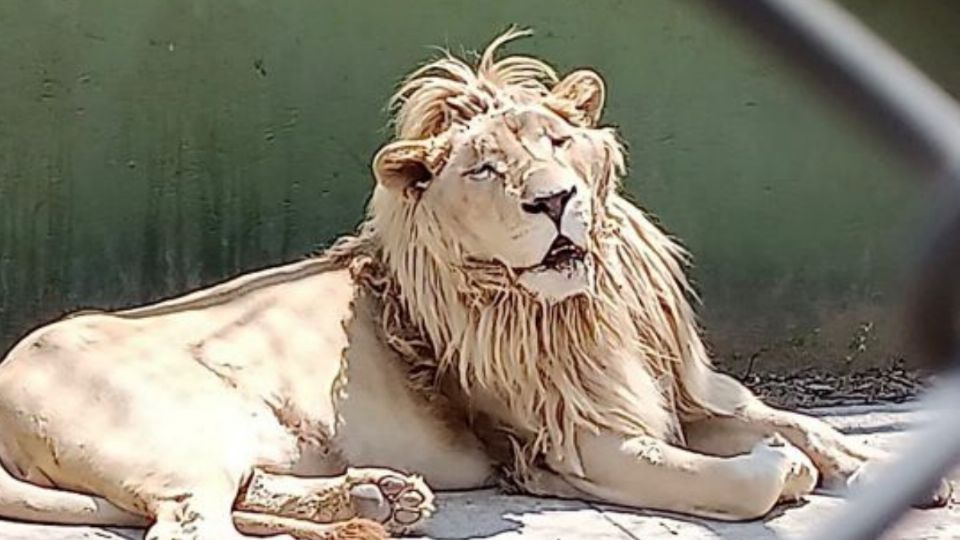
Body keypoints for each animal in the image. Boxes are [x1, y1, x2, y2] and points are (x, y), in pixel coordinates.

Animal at [0, 28, 948, 540]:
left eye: (558, 143)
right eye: (486, 169)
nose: (556, 201)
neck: (588, 304)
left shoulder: (677, 391)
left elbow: (793, 420)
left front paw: (880, 464)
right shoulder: (577, 444)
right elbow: (747, 475)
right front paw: (789, 472)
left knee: (230, 500)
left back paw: (379, 499)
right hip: (179, 429)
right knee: (192, 522)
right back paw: (370, 507)